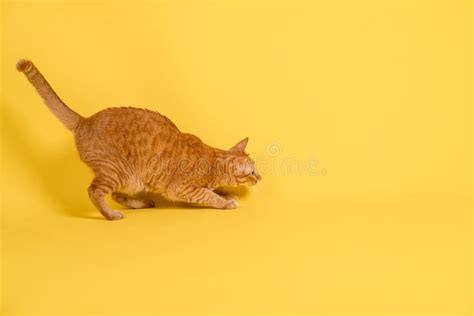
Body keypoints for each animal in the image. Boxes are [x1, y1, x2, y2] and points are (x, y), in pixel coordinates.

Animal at [16, 59, 262, 220]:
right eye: (252, 172)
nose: (260, 177)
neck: (211, 159)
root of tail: (85, 120)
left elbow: (216, 191)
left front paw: (226, 193)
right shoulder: (184, 189)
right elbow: (210, 196)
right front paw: (227, 202)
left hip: (130, 178)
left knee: (116, 194)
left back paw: (140, 203)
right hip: (117, 171)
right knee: (95, 191)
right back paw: (111, 215)